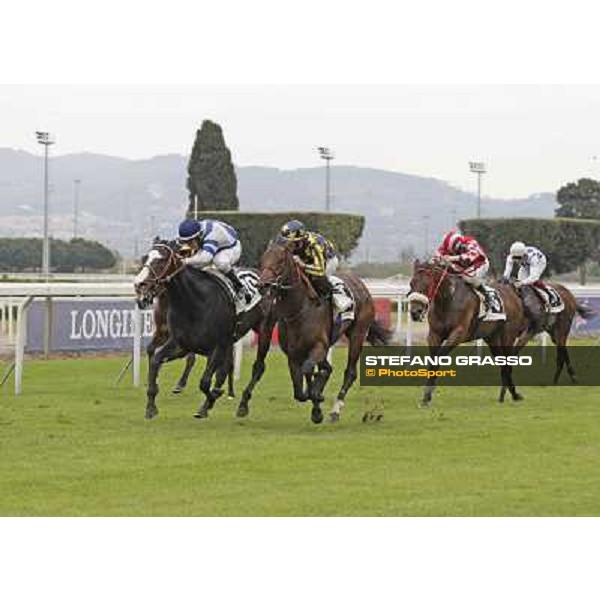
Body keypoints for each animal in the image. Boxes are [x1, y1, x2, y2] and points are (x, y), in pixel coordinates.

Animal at [136, 241, 270, 420]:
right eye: (146, 257)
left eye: (162, 260)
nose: (139, 284)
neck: (193, 302)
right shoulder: (181, 344)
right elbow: (156, 360)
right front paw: (151, 405)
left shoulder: (217, 346)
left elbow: (205, 381)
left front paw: (212, 397)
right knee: (225, 368)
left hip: (263, 329)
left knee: (257, 366)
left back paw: (240, 403)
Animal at [241, 241, 392, 424]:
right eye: (262, 260)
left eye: (281, 261)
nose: (262, 285)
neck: (299, 309)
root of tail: (361, 284)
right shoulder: (293, 354)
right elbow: (299, 391)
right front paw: (315, 403)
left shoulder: (318, 346)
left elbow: (308, 371)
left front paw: (316, 403)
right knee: (325, 368)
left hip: (358, 334)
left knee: (349, 372)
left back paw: (335, 410)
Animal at [408, 258, 524, 406]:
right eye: (411, 283)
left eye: (427, 285)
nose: (415, 312)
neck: (448, 299)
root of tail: (513, 294)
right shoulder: (434, 335)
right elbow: (433, 360)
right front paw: (427, 396)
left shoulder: (458, 333)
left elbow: (438, 357)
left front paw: (427, 394)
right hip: (492, 338)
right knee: (502, 362)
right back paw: (505, 395)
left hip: (508, 335)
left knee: (508, 362)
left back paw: (513, 394)